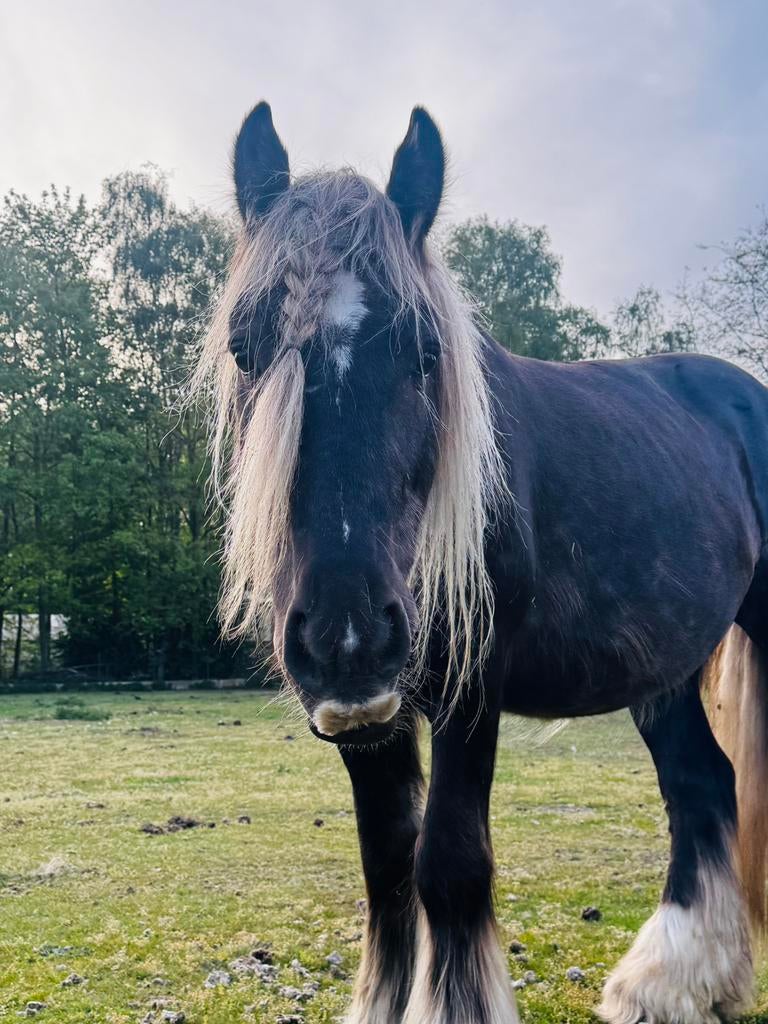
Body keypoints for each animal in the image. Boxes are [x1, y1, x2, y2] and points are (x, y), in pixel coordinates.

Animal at [188, 101, 768, 1024]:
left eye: (425, 352)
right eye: (246, 351)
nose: (348, 633)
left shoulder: (473, 687)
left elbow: (448, 863)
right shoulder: (369, 717)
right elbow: (387, 864)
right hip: (663, 670)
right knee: (702, 784)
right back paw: (674, 984)